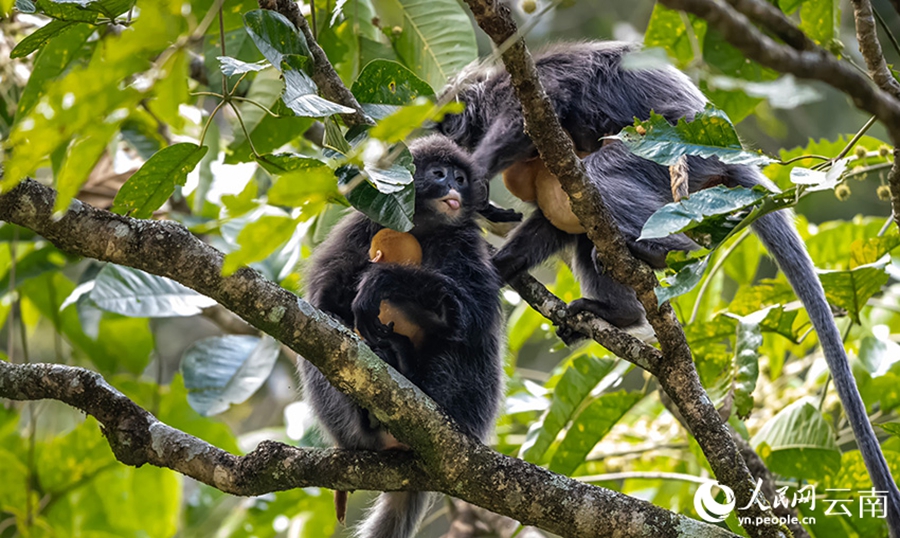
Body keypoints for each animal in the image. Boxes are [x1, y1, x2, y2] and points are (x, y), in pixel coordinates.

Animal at [298, 134, 502, 536]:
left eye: (460, 178)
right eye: (439, 174)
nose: (453, 189)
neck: (420, 226)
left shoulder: (466, 240)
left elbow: (476, 311)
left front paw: (382, 280)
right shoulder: (362, 225)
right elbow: (324, 300)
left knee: (469, 337)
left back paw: (410, 371)